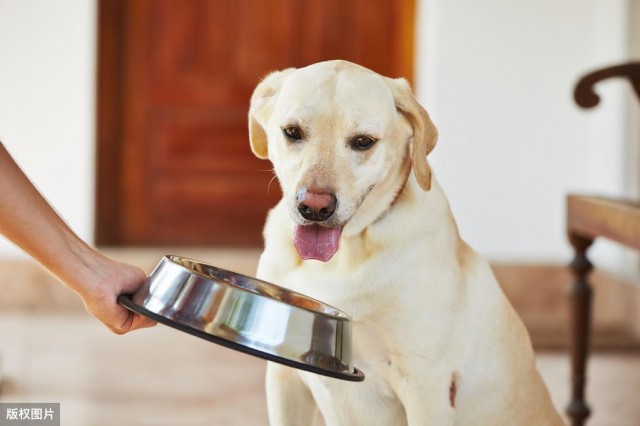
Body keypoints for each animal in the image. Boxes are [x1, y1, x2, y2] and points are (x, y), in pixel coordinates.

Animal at [248, 60, 564, 426]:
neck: (344, 257)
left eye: (363, 142)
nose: (314, 207)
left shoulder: (427, 387)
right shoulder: (283, 373)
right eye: (292, 132)